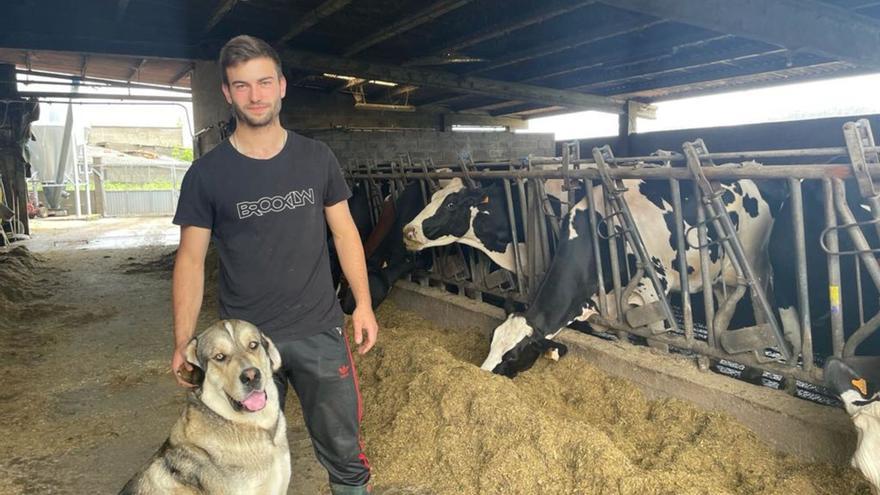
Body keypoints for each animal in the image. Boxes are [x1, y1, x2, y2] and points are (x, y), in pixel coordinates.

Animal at [482, 180, 776, 378]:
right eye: (491, 341)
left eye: (512, 355)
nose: (483, 373)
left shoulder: (652, 291)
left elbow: (658, 342)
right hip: (717, 276)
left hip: (754, 264)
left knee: (761, 307)